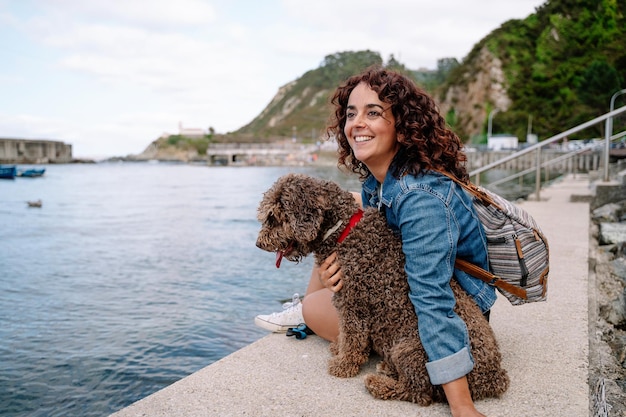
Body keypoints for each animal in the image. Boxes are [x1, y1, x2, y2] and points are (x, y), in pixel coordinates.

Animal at [254, 173, 508, 406]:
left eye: (272, 218)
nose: (258, 243)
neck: (344, 231)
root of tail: (493, 379)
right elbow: (347, 336)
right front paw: (339, 348)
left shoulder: (353, 304)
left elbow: (353, 339)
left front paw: (343, 364)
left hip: (409, 349)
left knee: (419, 392)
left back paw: (378, 384)